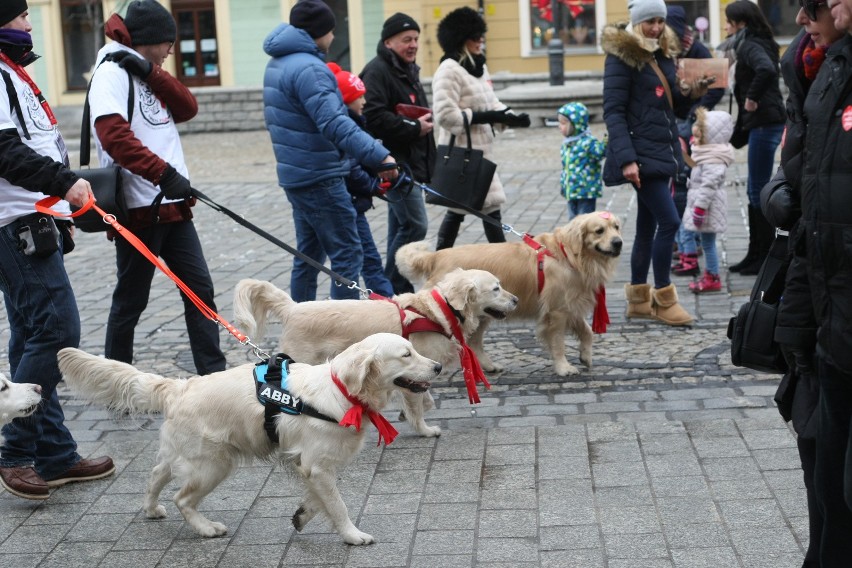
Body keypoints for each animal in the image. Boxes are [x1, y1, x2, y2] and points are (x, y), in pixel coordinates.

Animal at [55, 336, 440, 544]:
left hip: (182, 452)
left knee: (155, 476)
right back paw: (206, 528)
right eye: (406, 354)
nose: (437, 366)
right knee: (182, 498)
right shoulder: (317, 465)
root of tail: (180, 386)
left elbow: (321, 500)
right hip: (213, 464)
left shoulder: (311, 465)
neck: (343, 391)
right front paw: (352, 535)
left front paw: (303, 515)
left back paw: (151, 509)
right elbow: (338, 504)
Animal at [230, 268, 516, 438]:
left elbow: (424, 400)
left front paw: (408, 413)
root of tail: (292, 308)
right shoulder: (415, 370)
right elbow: (419, 405)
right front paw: (424, 429)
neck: (439, 311)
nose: (516, 300)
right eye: (496, 288)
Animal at [396, 211, 624, 374]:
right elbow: (559, 343)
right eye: (599, 230)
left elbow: (587, 332)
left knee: (474, 342)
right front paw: (563, 367)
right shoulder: (557, 311)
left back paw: (488, 366)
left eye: (617, 227)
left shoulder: (571, 306)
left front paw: (586, 356)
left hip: (484, 315)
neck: (567, 255)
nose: (619, 242)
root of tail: (436, 256)